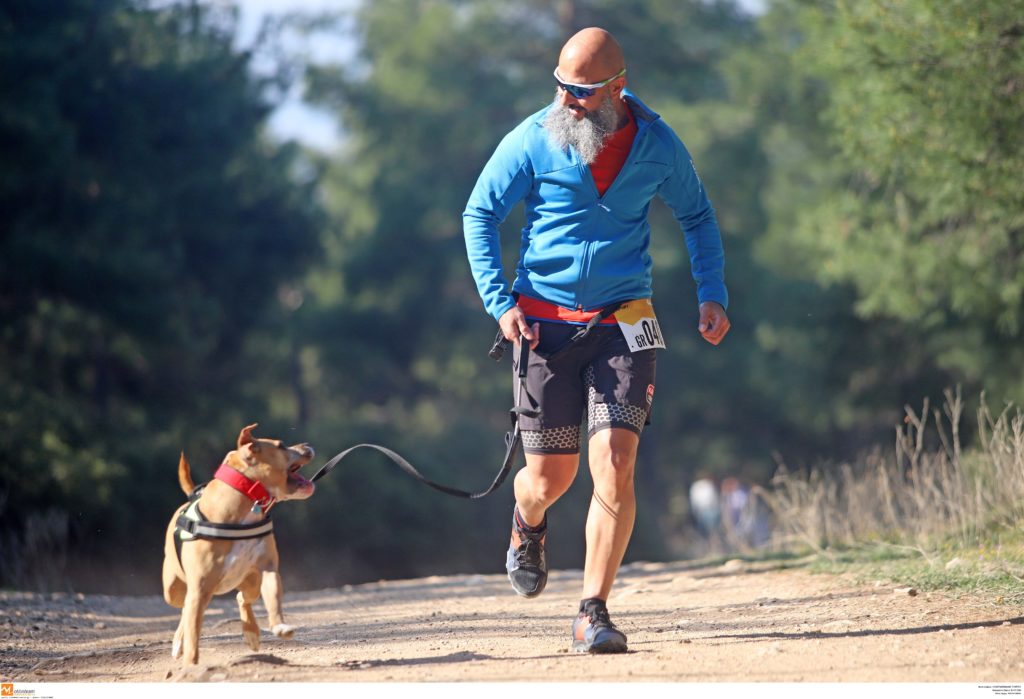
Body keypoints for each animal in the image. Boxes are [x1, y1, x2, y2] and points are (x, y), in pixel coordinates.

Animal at [161, 423, 313, 663]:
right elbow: (193, 637)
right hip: (174, 590)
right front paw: (191, 664)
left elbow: (273, 598)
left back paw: (251, 633)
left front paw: (279, 626)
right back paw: (178, 642)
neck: (246, 503)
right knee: (184, 609)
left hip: (250, 582)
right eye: (281, 445)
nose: (308, 445)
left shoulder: (267, 569)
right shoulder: (198, 589)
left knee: (242, 597)